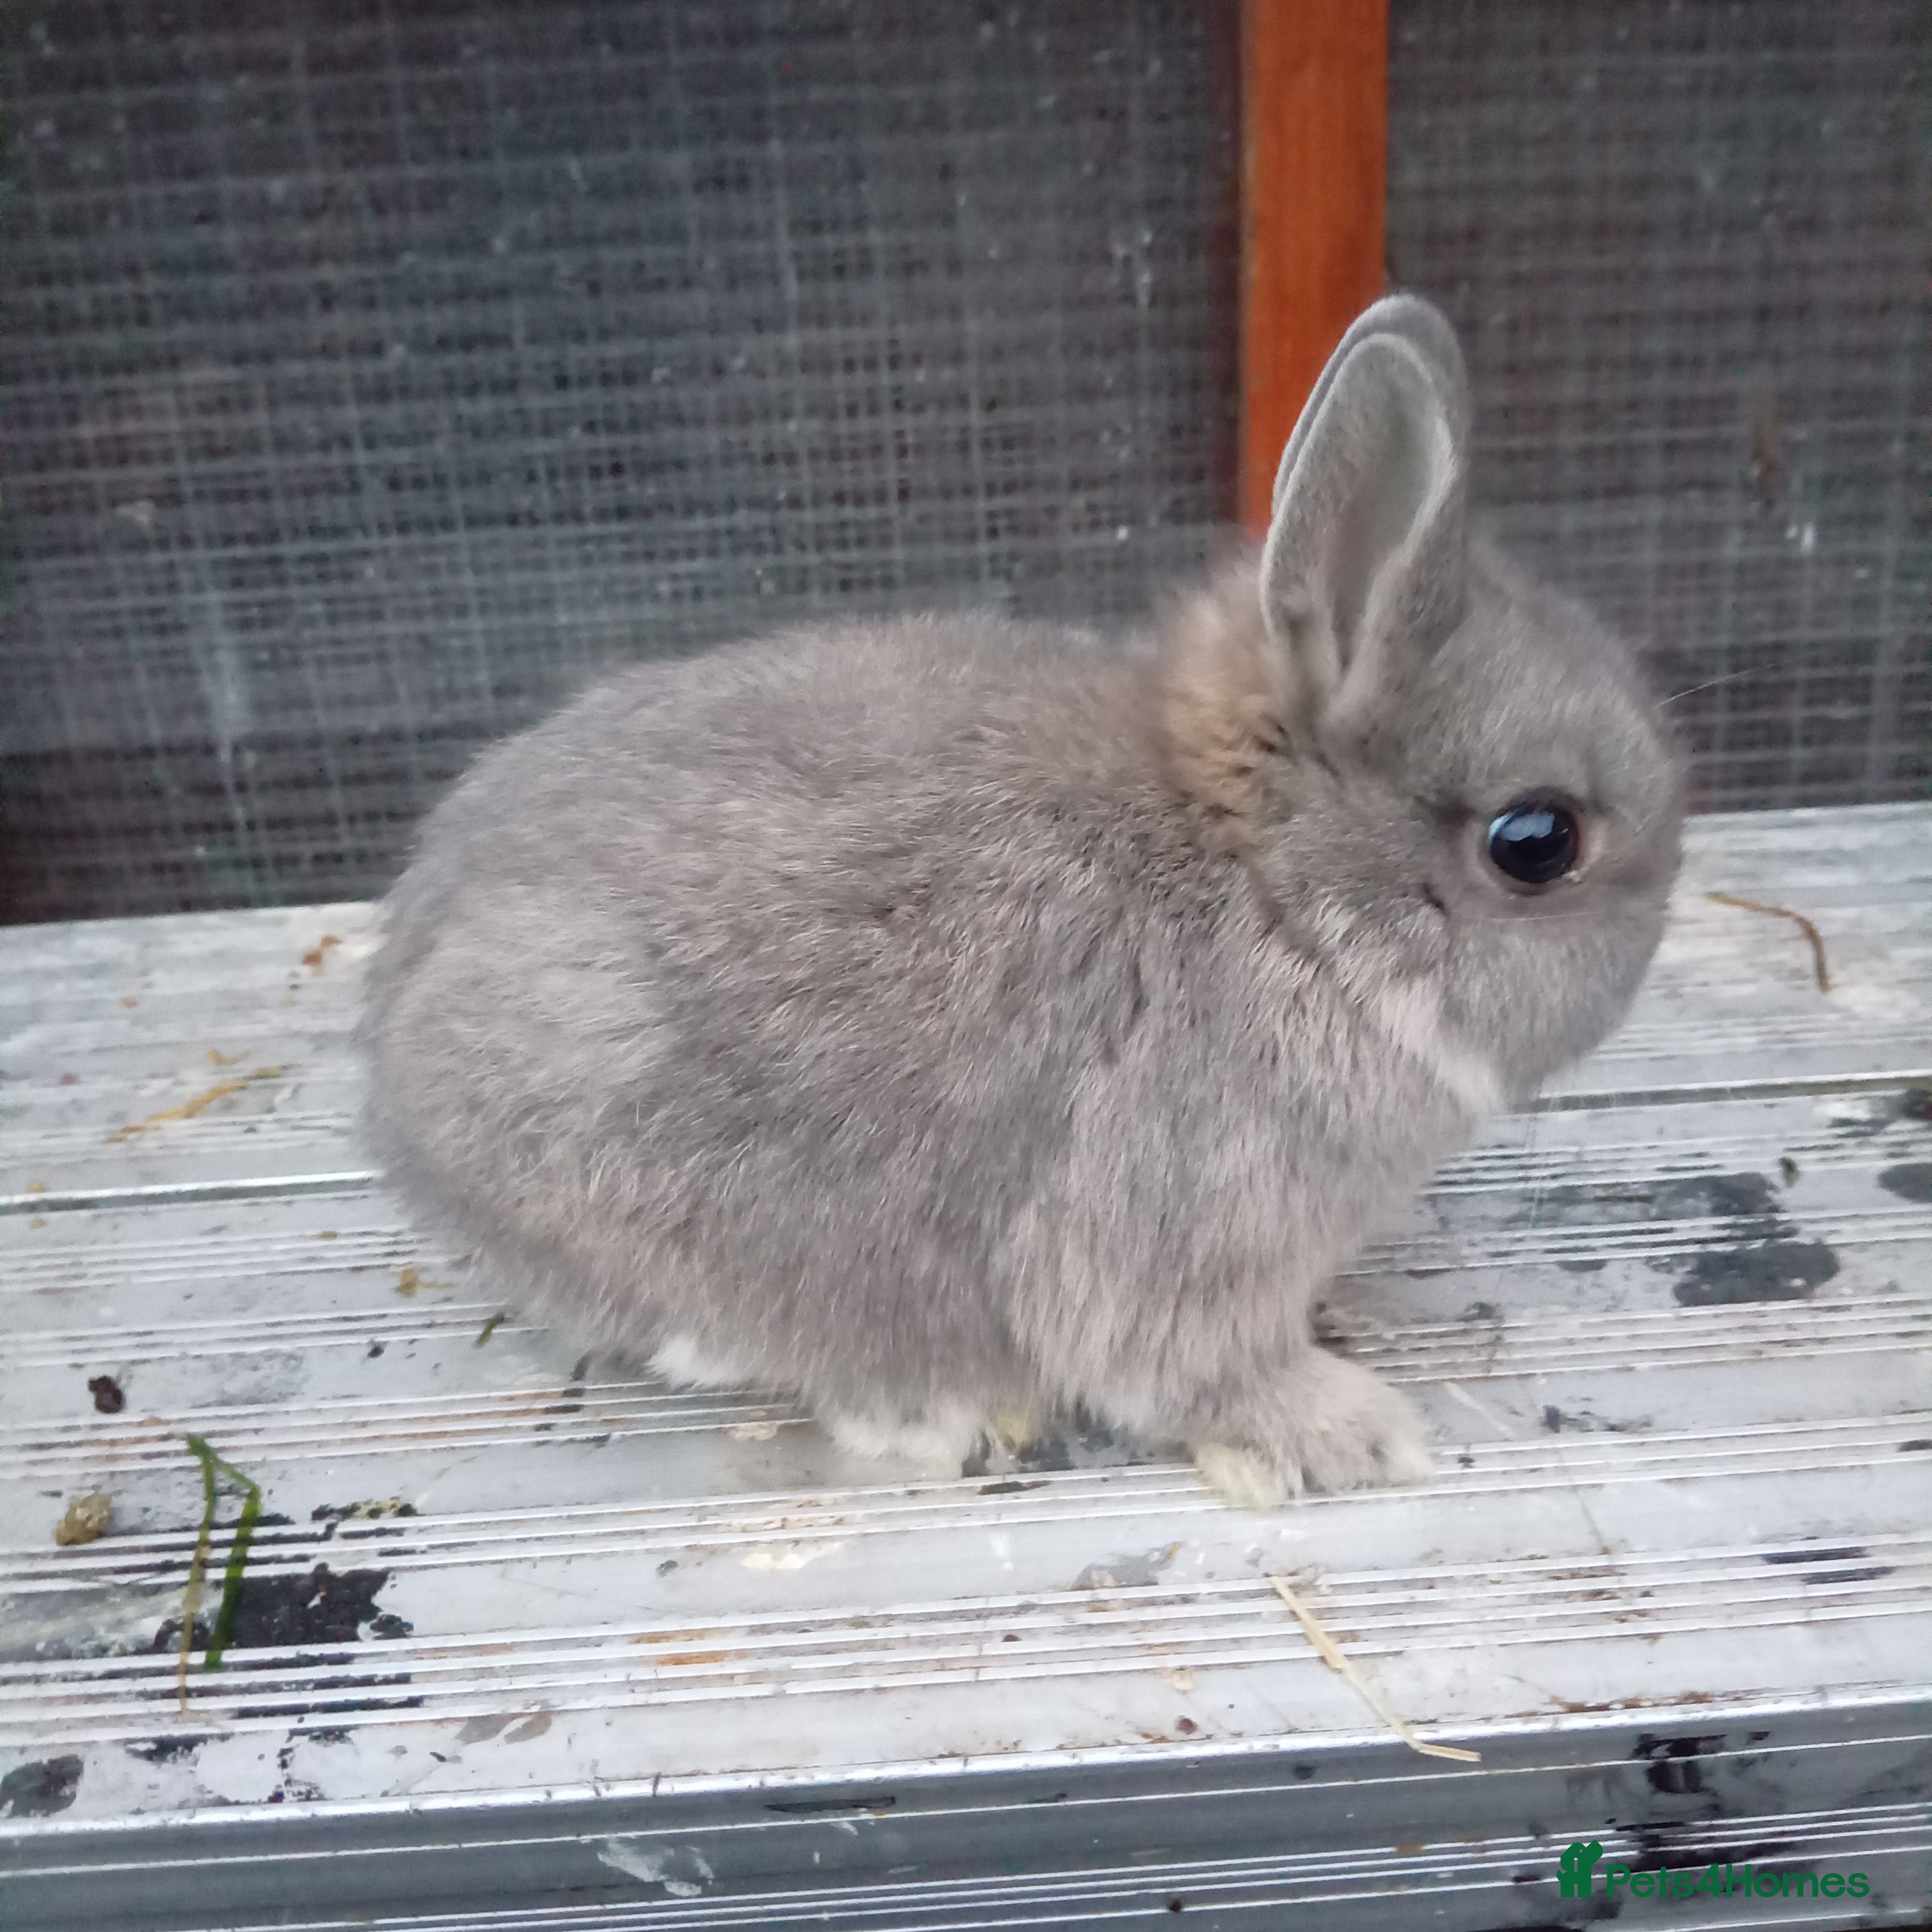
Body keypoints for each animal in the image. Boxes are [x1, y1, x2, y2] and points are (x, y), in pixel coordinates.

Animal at [361, 294, 1684, 1509]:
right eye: (1536, 842)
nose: (1658, 924)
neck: (1280, 900)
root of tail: (396, 1086)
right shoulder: (1179, 1230)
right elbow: (1196, 1369)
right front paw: (1355, 1433)